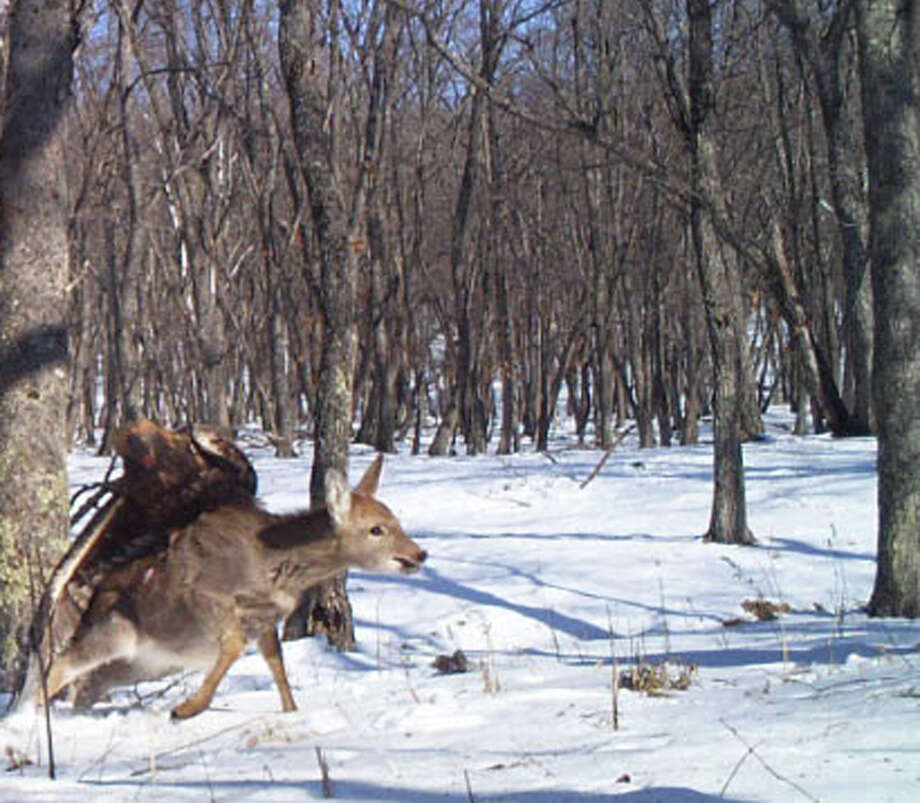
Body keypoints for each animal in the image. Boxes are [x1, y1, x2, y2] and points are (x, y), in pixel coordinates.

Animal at [35, 452, 424, 724]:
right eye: (376, 529)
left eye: (396, 520)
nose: (419, 554)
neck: (272, 565)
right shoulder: (204, 594)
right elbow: (235, 645)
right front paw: (187, 709)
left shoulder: (266, 618)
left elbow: (276, 664)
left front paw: (292, 711)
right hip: (115, 631)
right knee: (62, 663)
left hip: (147, 662)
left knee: (87, 686)